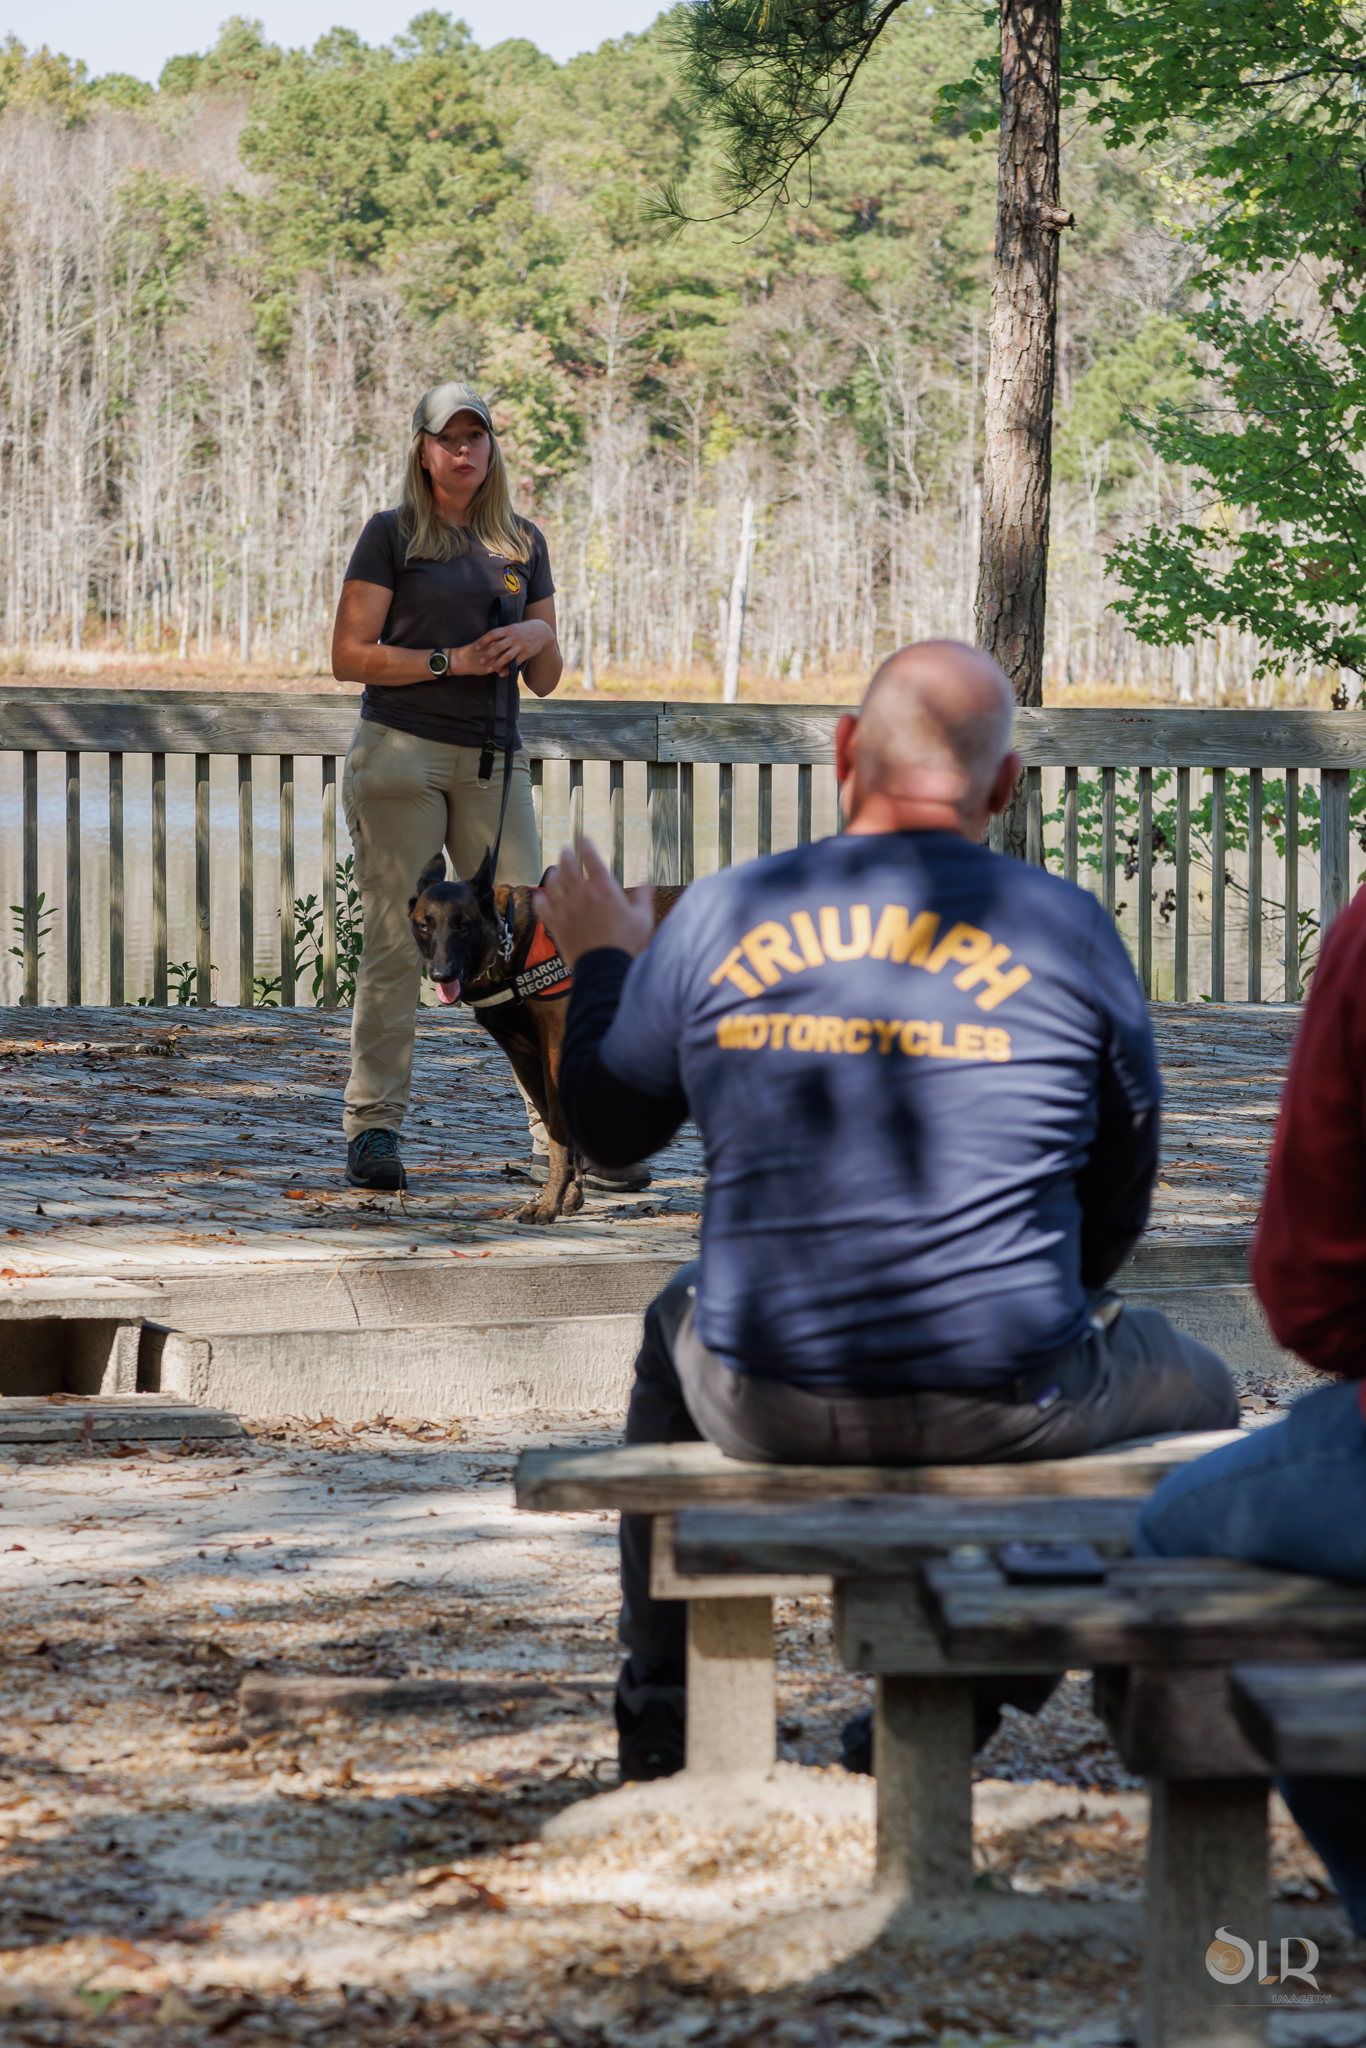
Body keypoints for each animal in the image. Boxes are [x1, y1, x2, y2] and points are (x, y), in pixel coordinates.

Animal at [408, 849, 681, 1223]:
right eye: (425, 925)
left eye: (462, 925)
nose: (440, 973)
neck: (508, 945)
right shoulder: (526, 1060)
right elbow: (560, 1136)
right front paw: (569, 1199)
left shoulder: (556, 1057)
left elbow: (560, 1138)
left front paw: (549, 1204)